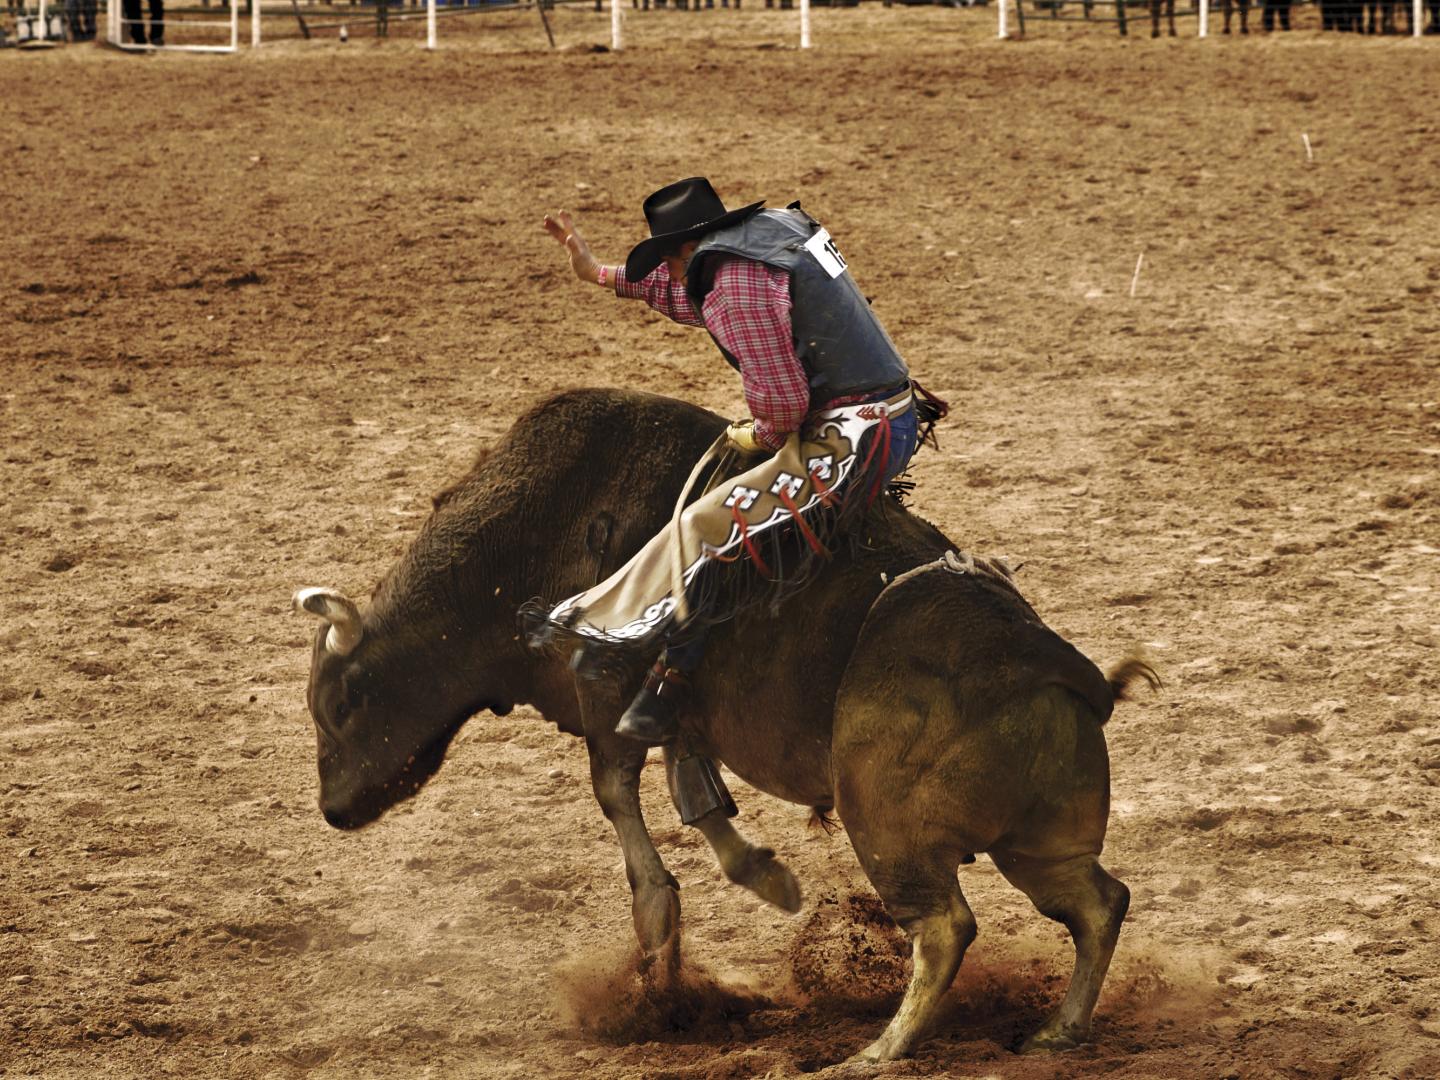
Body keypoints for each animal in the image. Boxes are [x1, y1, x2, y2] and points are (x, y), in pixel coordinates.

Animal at [294, 388, 1155, 1064]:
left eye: (340, 704)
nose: (332, 811)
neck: (533, 537)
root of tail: (1048, 665)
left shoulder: (607, 691)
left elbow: (621, 797)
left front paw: (672, 927)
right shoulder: (672, 713)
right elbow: (694, 791)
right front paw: (756, 874)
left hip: (888, 827)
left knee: (947, 928)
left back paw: (878, 1050)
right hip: (1039, 844)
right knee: (1098, 903)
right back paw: (1059, 1030)